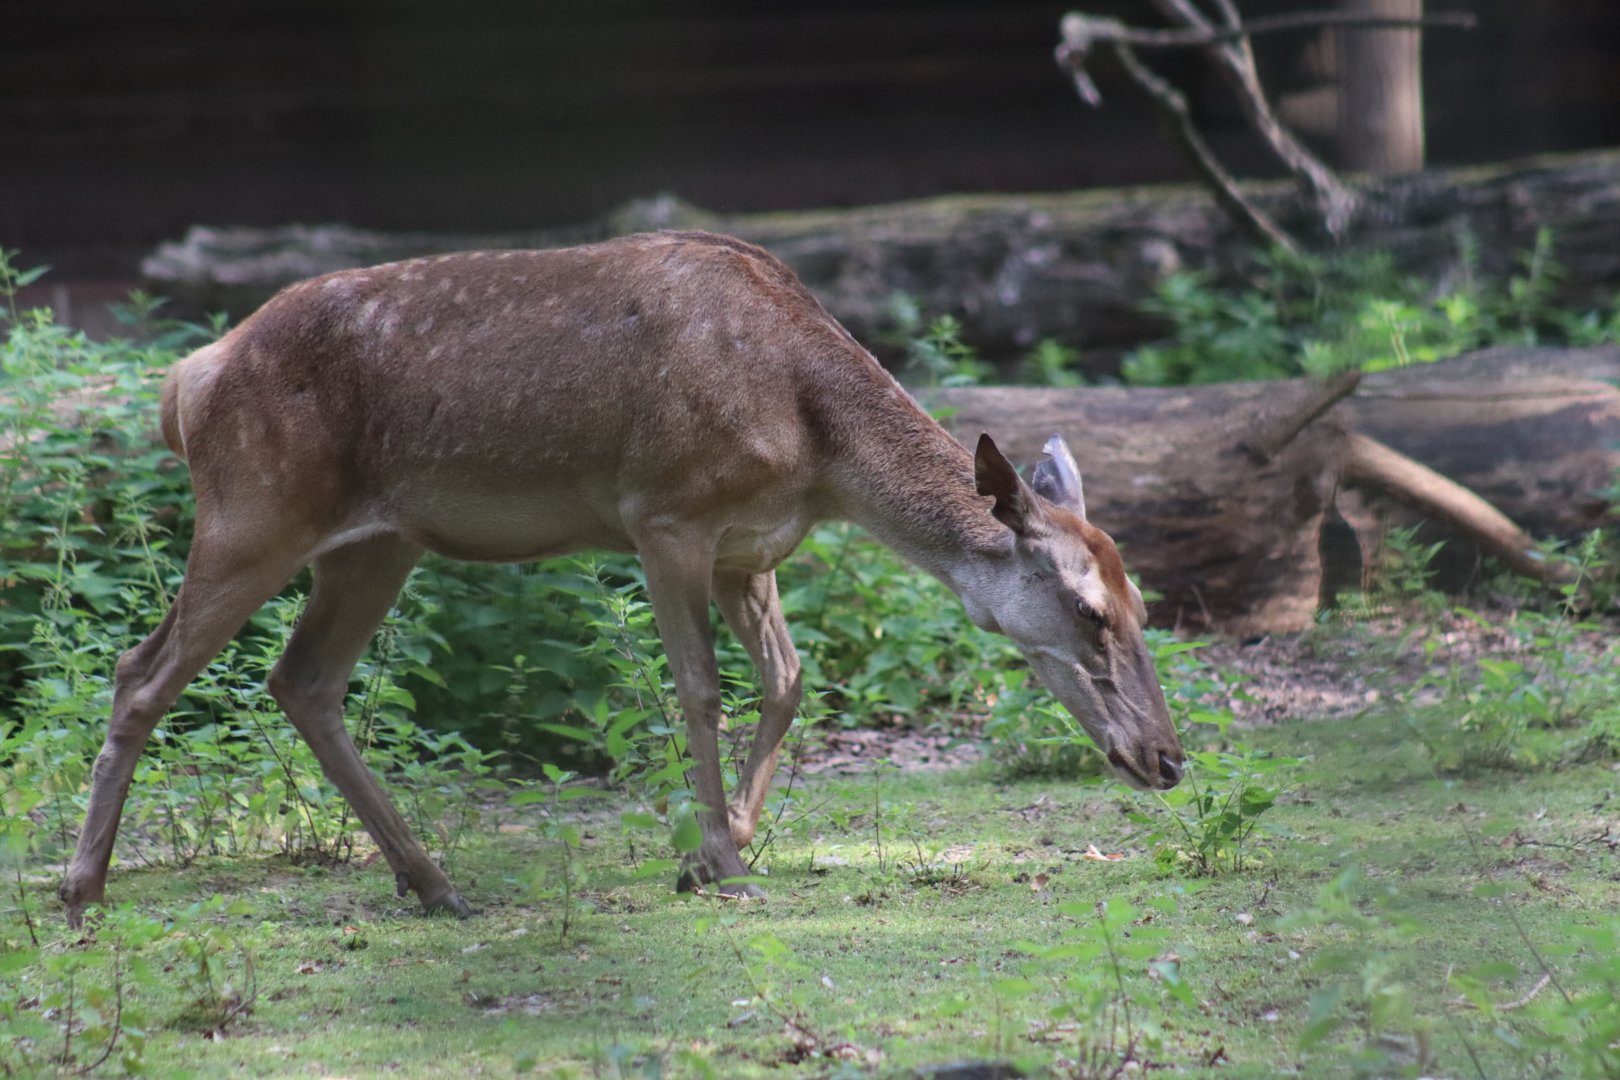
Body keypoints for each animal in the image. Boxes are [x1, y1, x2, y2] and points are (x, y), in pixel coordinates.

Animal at [59, 230, 1184, 925]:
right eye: (1089, 610)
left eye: (1141, 603)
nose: (1168, 759)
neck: (819, 455)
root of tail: (184, 382)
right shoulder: (666, 515)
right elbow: (697, 688)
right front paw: (721, 863)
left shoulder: (750, 550)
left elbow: (787, 683)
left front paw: (717, 846)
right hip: (254, 511)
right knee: (141, 670)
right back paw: (83, 888)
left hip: (376, 542)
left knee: (302, 680)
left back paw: (433, 883)